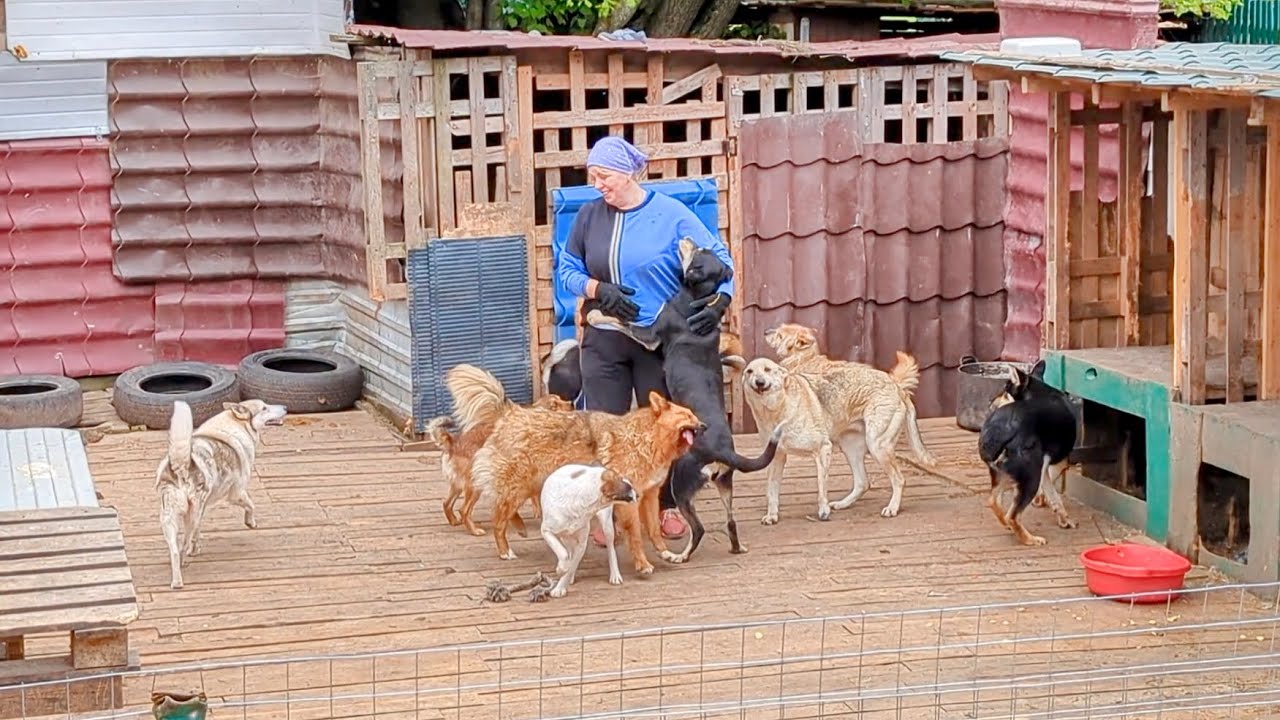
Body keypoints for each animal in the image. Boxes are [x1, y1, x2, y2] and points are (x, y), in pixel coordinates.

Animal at [156, 397, 286, 589]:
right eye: (264, 408)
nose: (285, 407)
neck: (234, 424)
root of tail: (181, 466)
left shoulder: (202, 509)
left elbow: (197, 534)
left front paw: (196, 548)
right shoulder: (237, 492)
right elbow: (251, 505)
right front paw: (251, 522)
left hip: (169, 517)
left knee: (174, 549)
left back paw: (177, 579)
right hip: (190, 516)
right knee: (183, 543)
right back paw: (184, 565)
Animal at [427, 392, 573, 532]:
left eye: (560, 398)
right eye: (554, 406)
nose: (572, 403)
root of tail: (454, 443)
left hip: (457, 485)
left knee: (446, 503)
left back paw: (454, 521)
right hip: (475, 486)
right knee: (463, 510)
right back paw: (474, 530)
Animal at [442, 363, 701, 571]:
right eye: (687, 416)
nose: (705, 425)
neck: (648, 437)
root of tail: (511, 412)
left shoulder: (649, 496)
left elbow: (655, 531)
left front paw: (666, 552)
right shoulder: (630, 501)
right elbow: (636, 536)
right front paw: (642, 564)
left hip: (529, 485)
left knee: (502, 510)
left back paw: (520, 528)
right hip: (518, 486)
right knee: (497, 520)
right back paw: (505, 551)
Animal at [537, 461, 637, 597]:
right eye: (626, 485)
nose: (637, 494)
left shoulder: (582, 543)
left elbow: (571, 564)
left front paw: (560, 586)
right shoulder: (546, 531)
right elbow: (563, 554)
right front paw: (562, 569)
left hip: (607, 526)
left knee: (610, 548)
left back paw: (615, 574)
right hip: (565, 537)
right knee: (568, 551)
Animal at [752, 324, 936, 515]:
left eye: (780, 335)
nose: (765, 331)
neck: (804, 358)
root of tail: (897, 386)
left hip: (877, 445)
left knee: (898, 479)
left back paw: (892, 508)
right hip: (851, 447)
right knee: (863, 482)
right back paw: (842, 504)